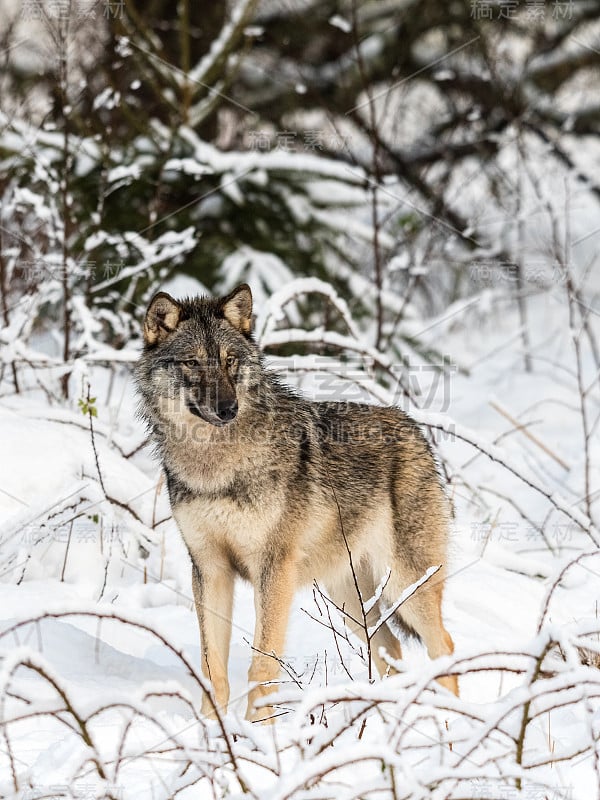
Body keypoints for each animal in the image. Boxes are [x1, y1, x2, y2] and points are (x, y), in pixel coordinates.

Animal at [134, 284, 458, 720]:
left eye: (230, 360)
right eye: (192, 362)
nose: (228, 409)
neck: (215, 467)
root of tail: (414, 428)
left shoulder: (273, 571)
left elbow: (262, 665)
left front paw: (257, 731)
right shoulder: (209, 568)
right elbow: (211, 666)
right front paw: (212, 730)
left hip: (407, 586)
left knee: (444, 647)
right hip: (348, 599)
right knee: (390, 647)